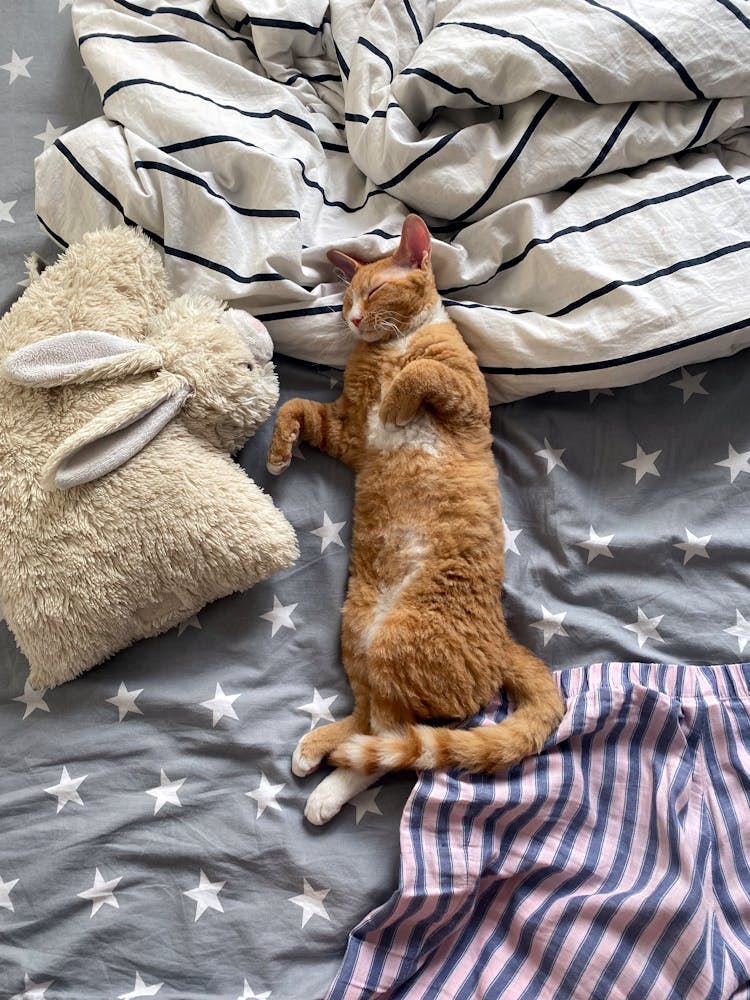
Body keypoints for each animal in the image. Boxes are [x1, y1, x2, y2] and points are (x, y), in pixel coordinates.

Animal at [268, 215, 568, 824]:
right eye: (345, 300)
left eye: (377, 291)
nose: (353, 320)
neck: (392, 345)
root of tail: (503, 642)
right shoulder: (345, 433)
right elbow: (296, 407)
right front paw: (278, 452)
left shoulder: (466, 399)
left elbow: (423, 373)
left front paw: (396, 402)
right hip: (362, 637)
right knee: (378, 729)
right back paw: (317, 755)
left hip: (394, 645)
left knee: (393, 743)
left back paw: (326, 784)